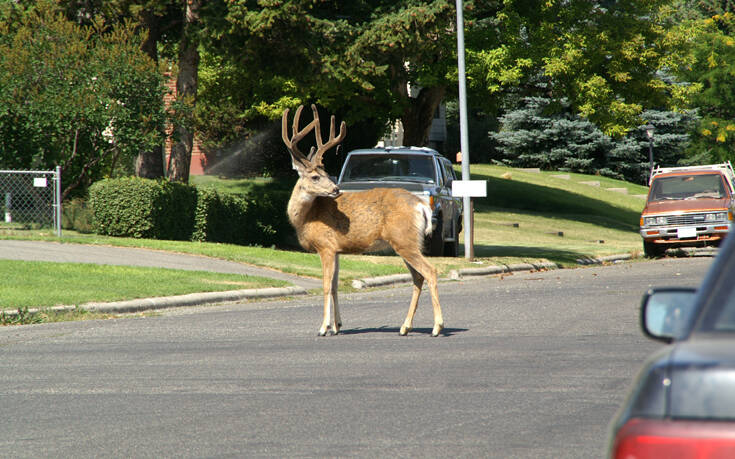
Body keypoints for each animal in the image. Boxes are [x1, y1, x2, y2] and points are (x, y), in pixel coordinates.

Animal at [280, 105, 442, 338]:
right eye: (316, 177)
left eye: (326, 173)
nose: (335, 189)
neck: (306, 217)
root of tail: (421, 205)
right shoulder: (336, 250)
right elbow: (335, 286)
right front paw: (337, 326)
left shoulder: (325, 246)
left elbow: (326, 286)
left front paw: (323, 328)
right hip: (408, 242)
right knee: (418, 277)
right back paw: (405, 327)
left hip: (404, 240)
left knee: (430, 271)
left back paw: (437, 327)